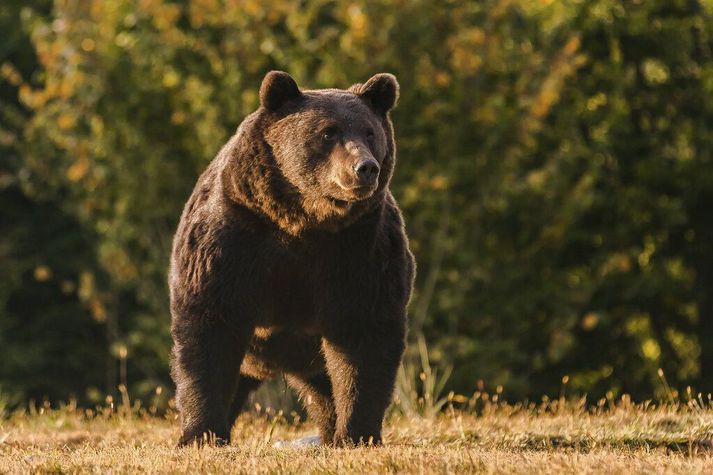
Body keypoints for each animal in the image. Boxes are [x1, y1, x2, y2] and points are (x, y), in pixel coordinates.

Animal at [170, 69, 418, 446]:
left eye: (370, 131)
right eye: (328, 132)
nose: (365, 168)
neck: (304, 220)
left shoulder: (361, 250)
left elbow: (364, 337)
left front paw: (356, 433)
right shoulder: (233, 238)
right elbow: (209, 327)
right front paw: (202, 433)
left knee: (325, 389)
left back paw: (329, 433)